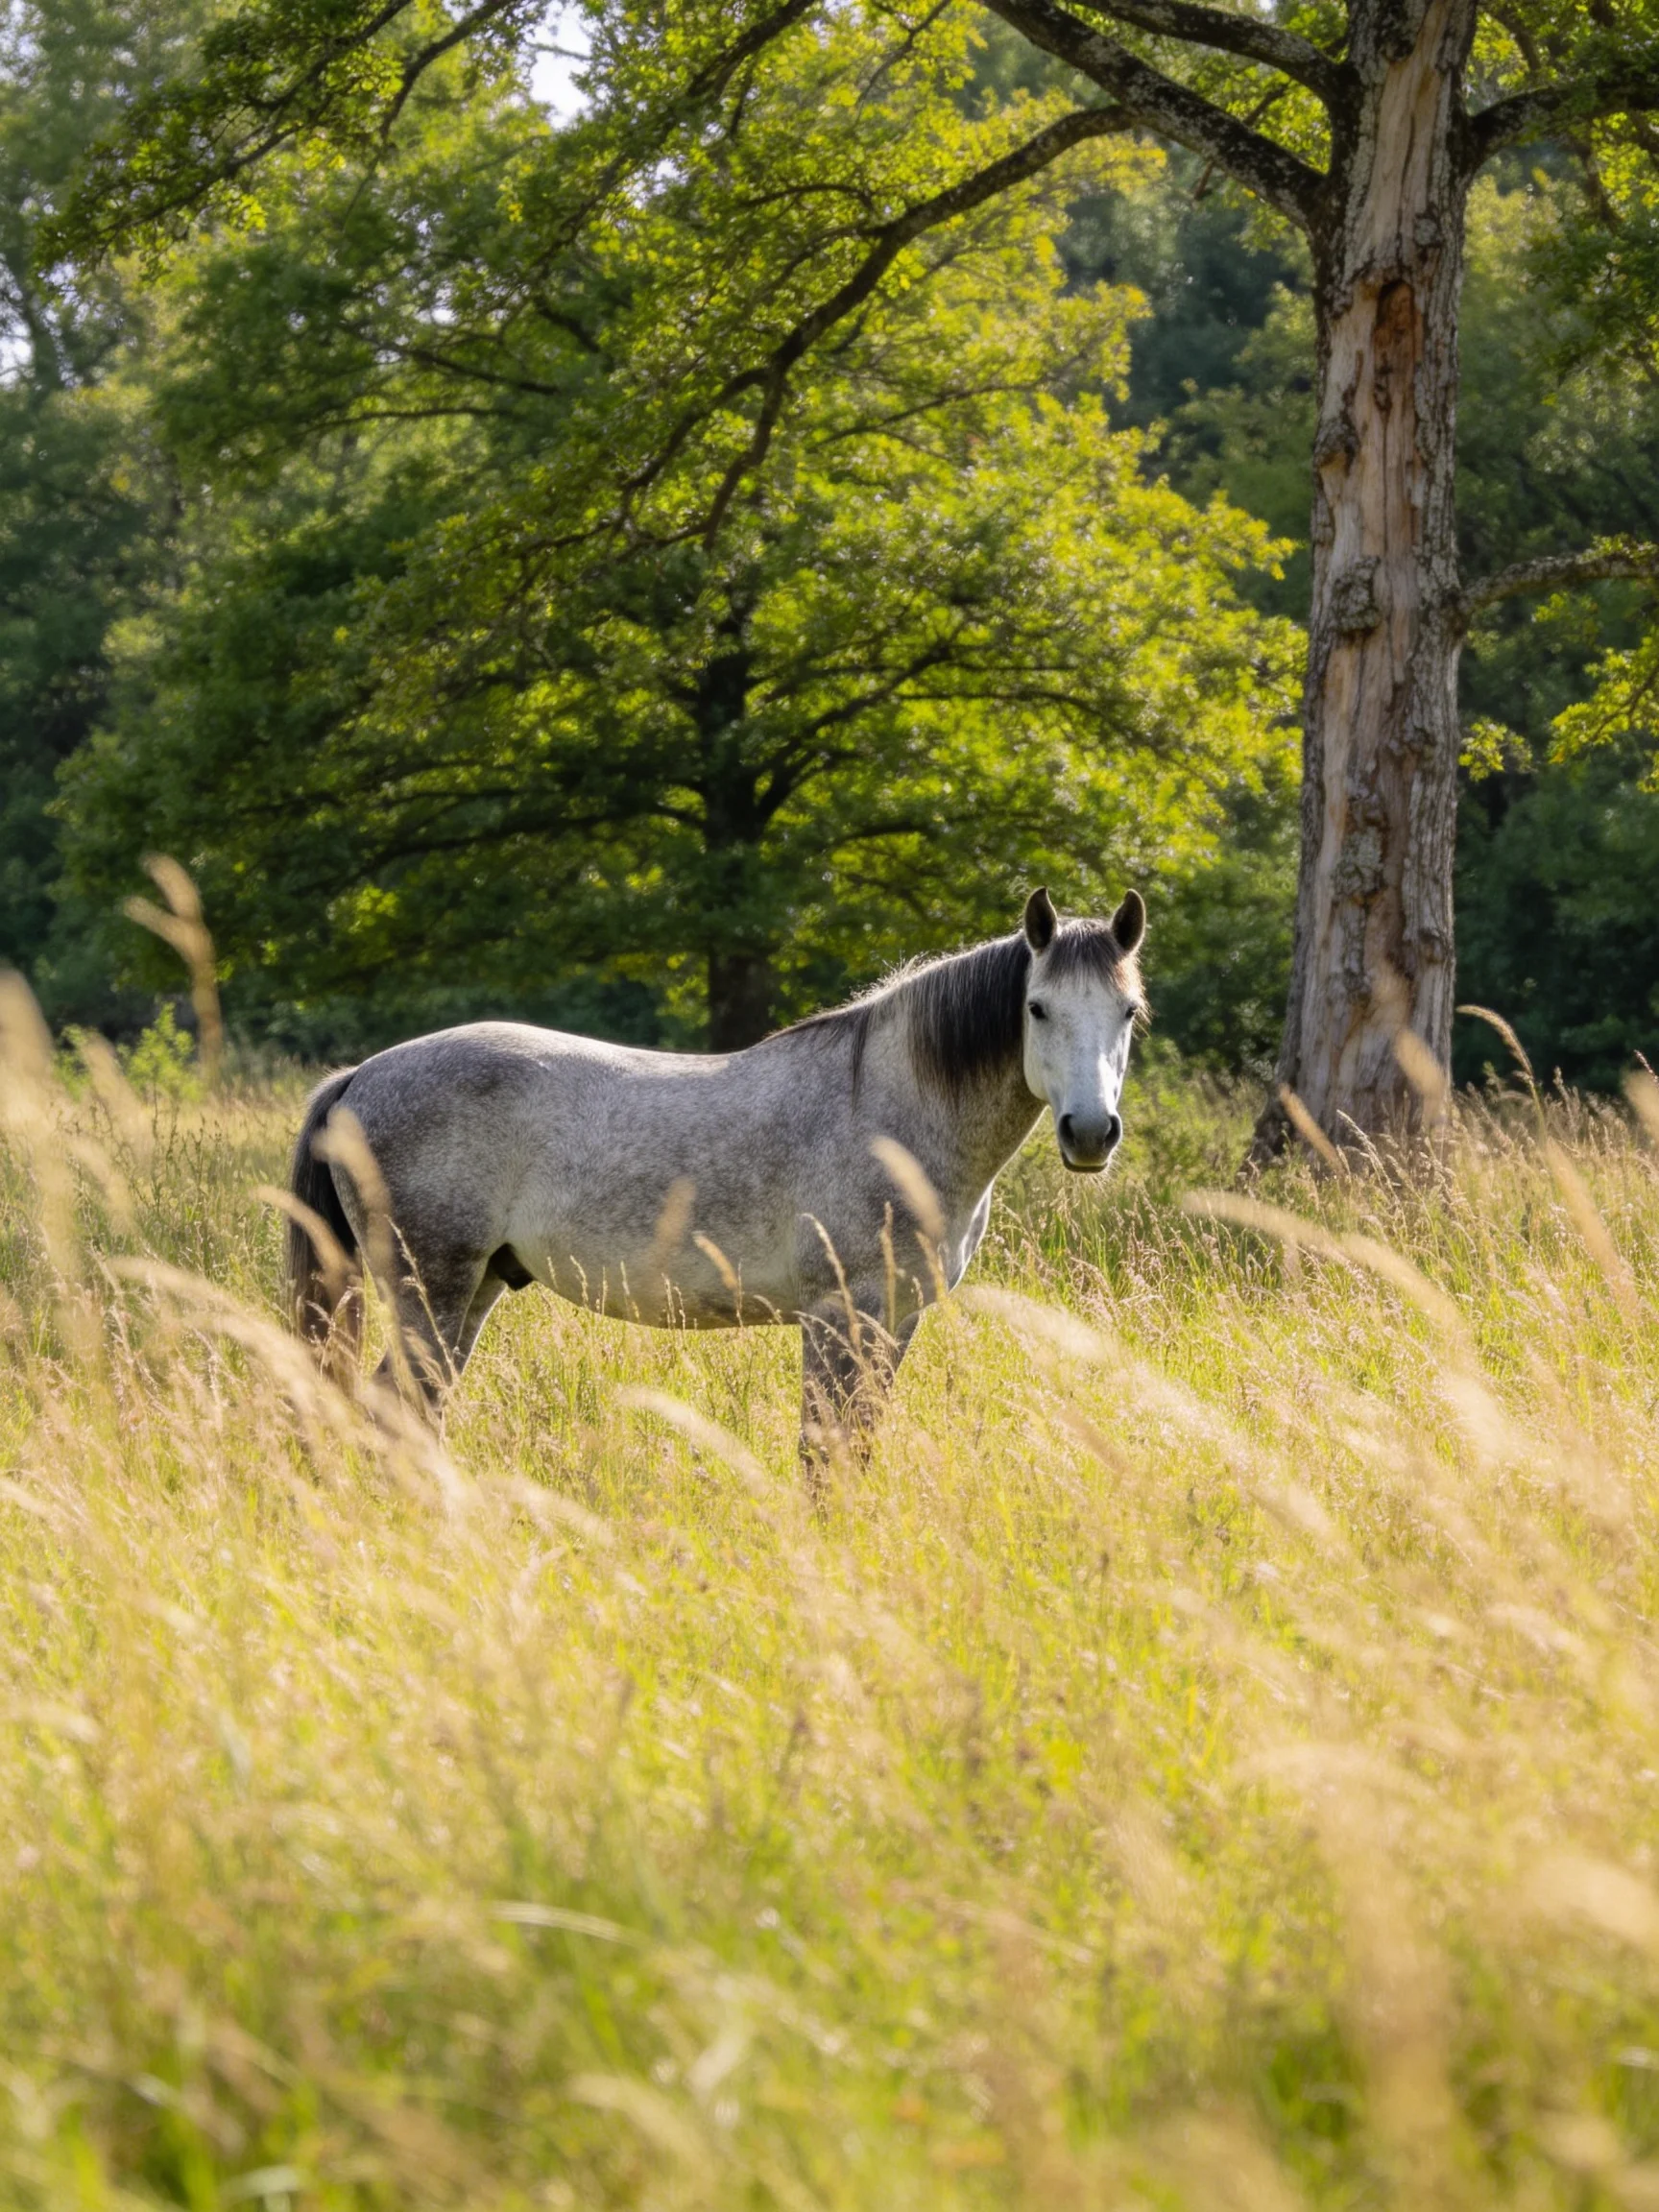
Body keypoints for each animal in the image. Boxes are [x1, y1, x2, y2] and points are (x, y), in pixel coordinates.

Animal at [285, 885, 1146, 1459]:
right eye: (1037, 1008)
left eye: (1129, 1013)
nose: (1090, 1132)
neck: (887, 1111)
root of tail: (359, 1077)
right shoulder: (838, 1313)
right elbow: (823, 1451)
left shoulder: (895, 1318)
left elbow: (858, 1446)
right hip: (433, 1286)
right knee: (394, 1406)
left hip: (477, 1289)